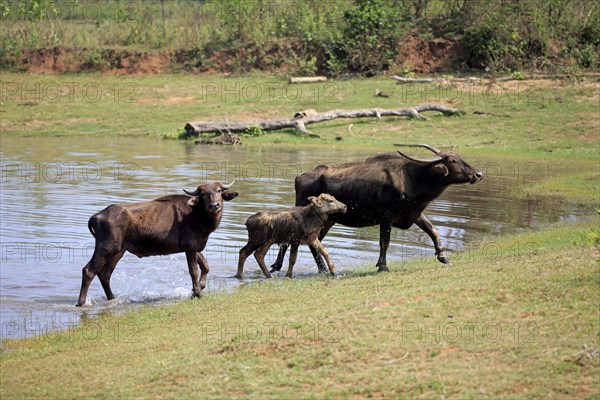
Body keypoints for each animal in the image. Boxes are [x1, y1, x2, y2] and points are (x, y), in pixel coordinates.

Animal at [77, 181, 239, 306]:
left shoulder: (195, 247)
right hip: (106, 248)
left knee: (105, 274)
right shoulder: (190, 247)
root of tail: (96, 216)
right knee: (88, 271)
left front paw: (200, 286)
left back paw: (112, 298)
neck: (198, 216)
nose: (214, 205)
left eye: (219, 191)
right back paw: (81, 303)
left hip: (118, 252)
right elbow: (194, 270)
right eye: (203, 194)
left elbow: (205, 266)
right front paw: (197, 293)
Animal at [270, 145, 486, 274]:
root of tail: (299, 177)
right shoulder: (386, 217)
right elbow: (384, 242)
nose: (478, 174)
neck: (414, 177)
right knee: (292, 241)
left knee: (313, 244)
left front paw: (443, 256)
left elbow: (432, 230)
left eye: (459, 157)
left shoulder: (414, 213)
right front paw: (382, 266)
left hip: (327, 222)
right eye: (452, 161)